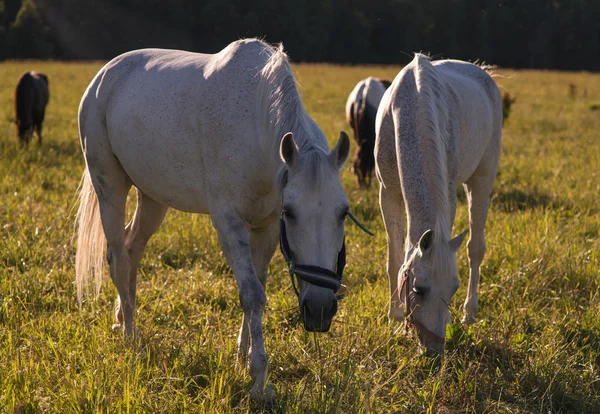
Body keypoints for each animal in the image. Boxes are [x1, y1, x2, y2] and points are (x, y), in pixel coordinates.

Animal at [77, 40, 354, 400]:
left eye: (343, 212)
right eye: (291, 212)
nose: (320, 310)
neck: (256, 126)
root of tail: (103, 77)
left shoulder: (265, 227)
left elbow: (258, 288)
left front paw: (242, 357)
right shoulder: (228, 223)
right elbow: (251, 294)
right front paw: (258, 377)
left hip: (153, 198)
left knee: (130, 249)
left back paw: (123, 319)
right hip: (110, 186)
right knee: (119, 259)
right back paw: (131, 339)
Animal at [376, 53, 502, 354]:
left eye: (453, 289)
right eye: (419, 289)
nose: (435, 351)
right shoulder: (387, 194)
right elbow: (394, 258)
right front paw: (394, 319)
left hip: (483, 179)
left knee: (475, 249)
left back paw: (470, 313)